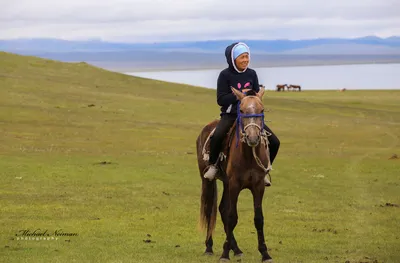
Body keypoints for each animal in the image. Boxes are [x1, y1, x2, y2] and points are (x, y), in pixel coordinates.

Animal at [195, 87, 274, 262]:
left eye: (261, 110)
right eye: (242, 110)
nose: (253, 137)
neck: (248, 155)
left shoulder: (258, 186)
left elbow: (258, 219)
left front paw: (265, 253)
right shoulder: (235, 184)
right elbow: (232, 217)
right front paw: (224, 254)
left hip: (225, 182)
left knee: (222, 209)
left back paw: (236, 249)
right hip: (208, 181)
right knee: (210, 209)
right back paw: (209, 247)